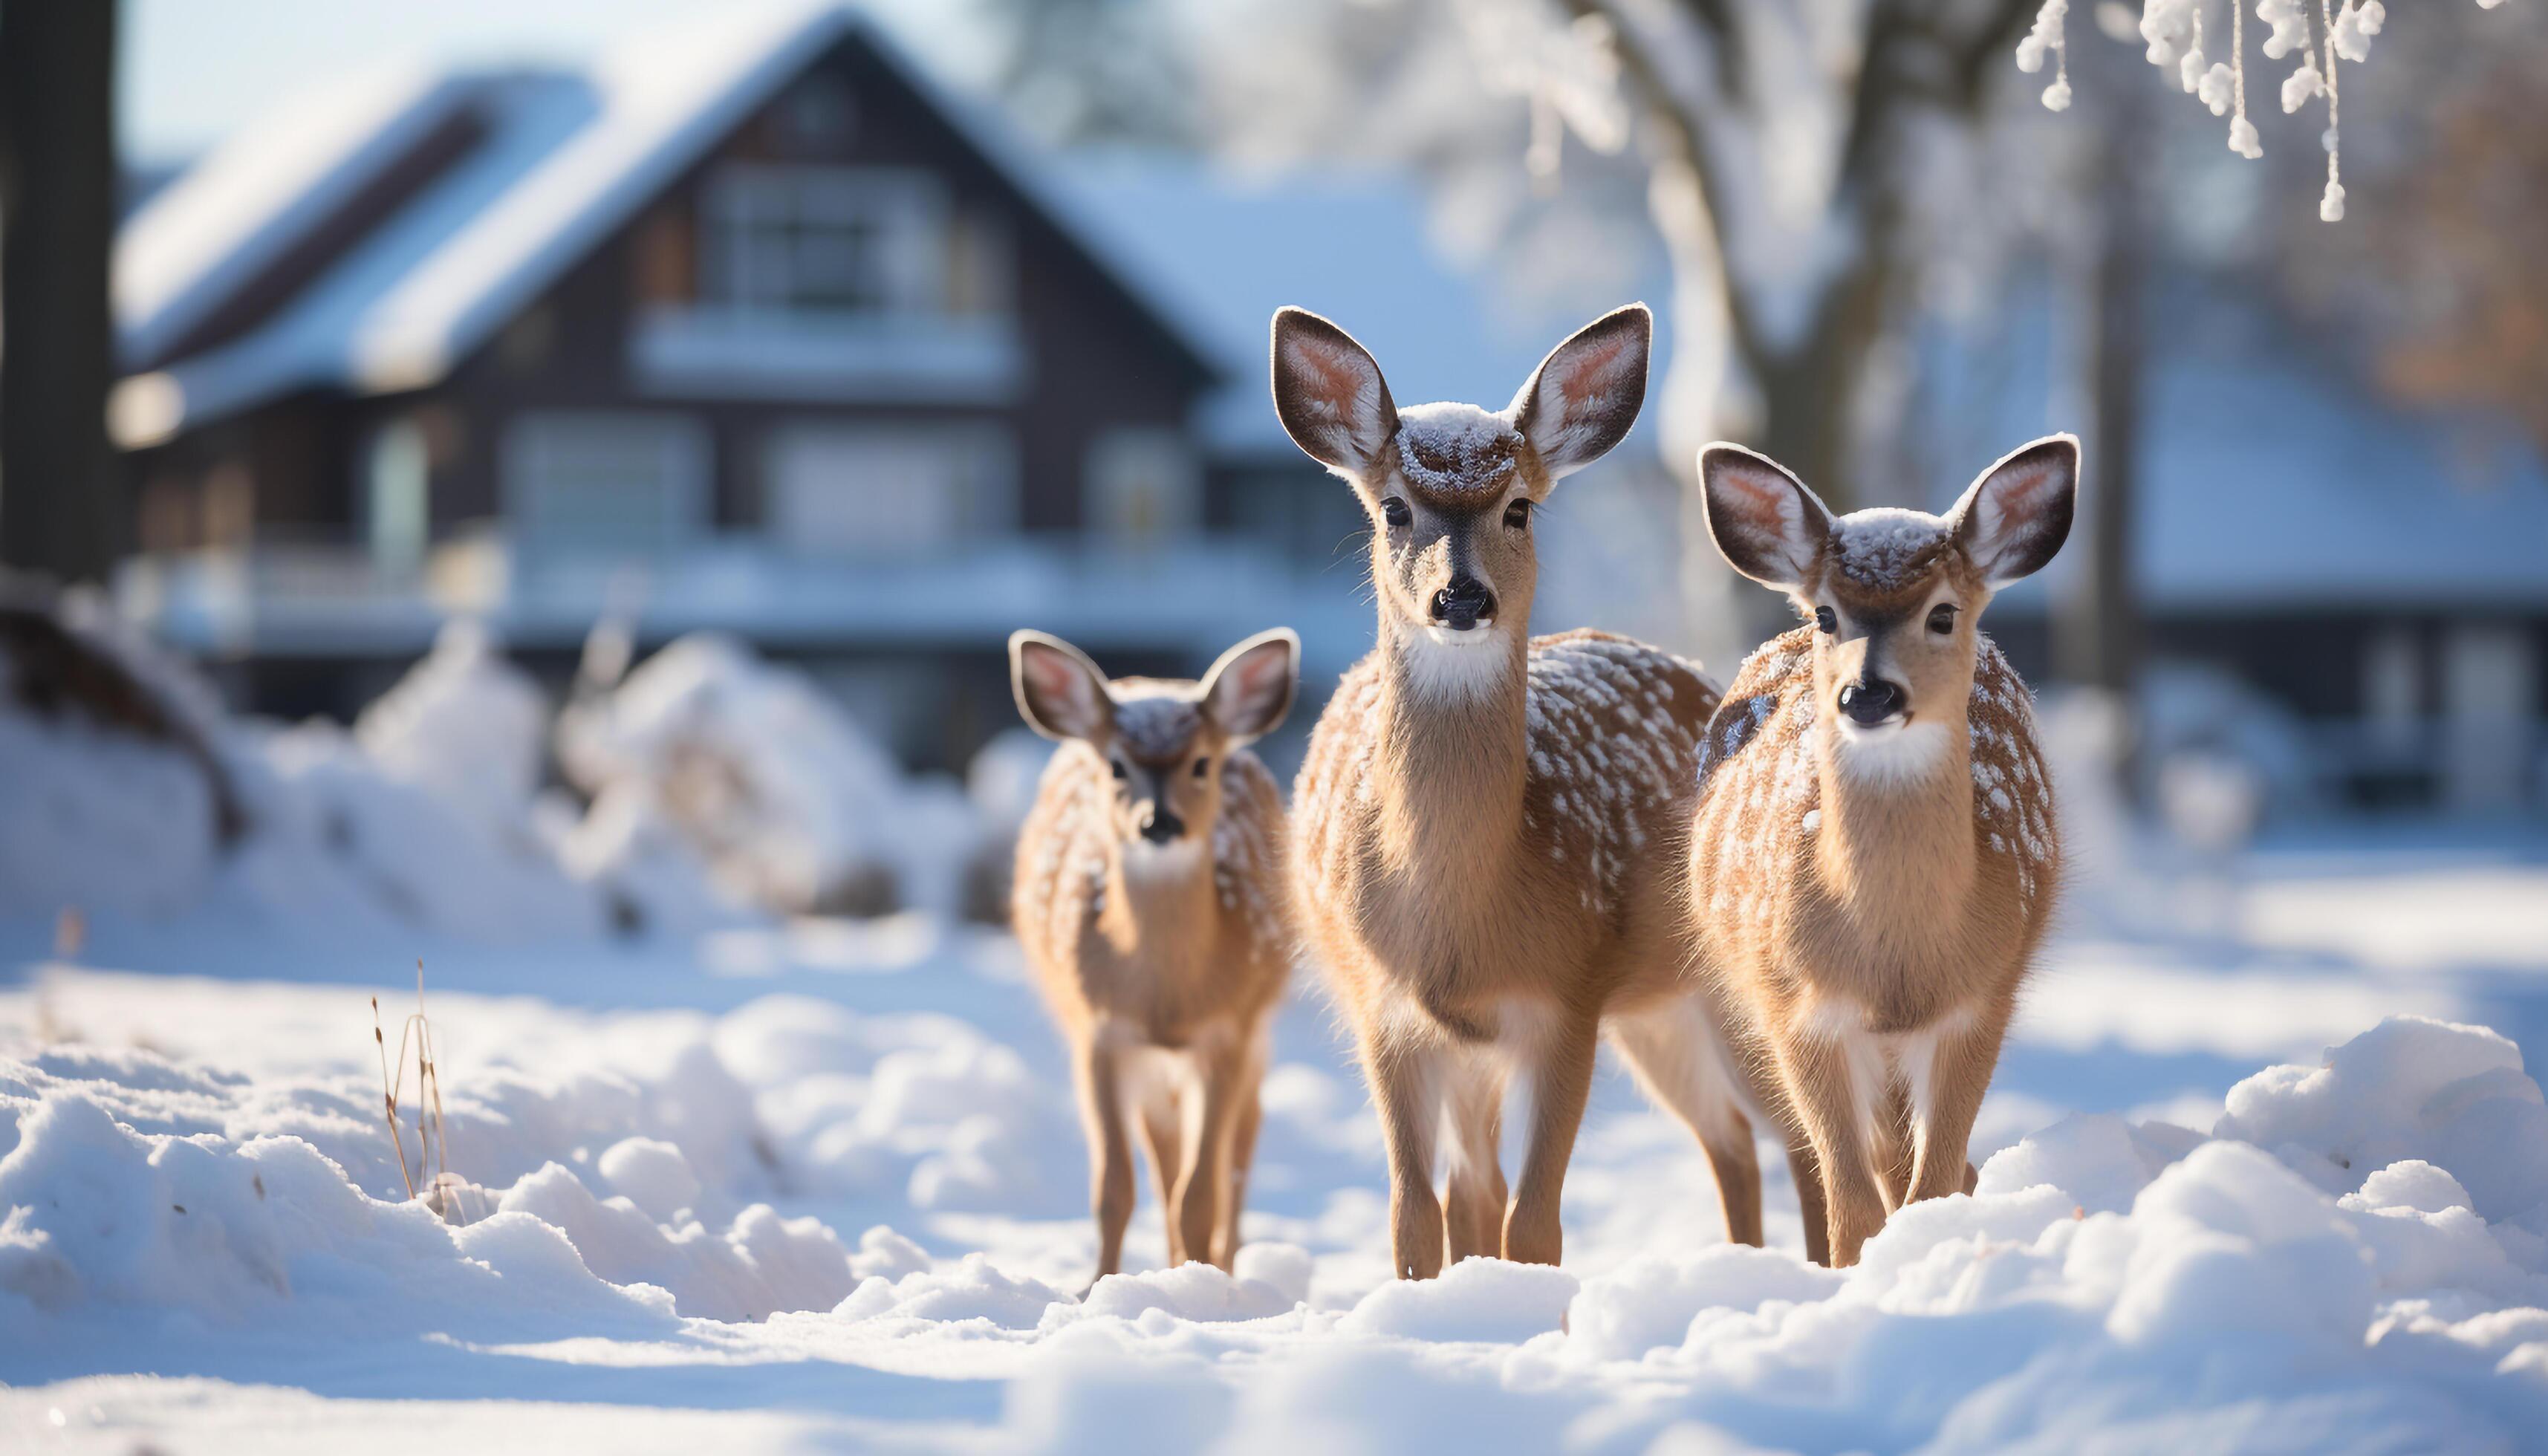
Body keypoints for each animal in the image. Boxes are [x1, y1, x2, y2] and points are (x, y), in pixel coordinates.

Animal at [1009, 627, 1304, 1285]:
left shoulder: (1227, 1034)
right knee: (1166, 1159)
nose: (1159, 822)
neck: (1167, 998)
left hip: (1255, 1034)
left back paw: (1219, 1263)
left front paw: (1204, 1281)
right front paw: (1096, 1287)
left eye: (1201, 763)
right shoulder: (1099, 1036)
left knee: (1240, 1152)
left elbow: (1202, 1191)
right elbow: (1114, 1188)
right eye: (1116, 766)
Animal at [1269, 302, 1773, 1280]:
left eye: (1518, 506)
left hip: (1706, 980)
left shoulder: (1567, 997)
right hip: (1630, 1017)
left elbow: (1534, 1225)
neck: (1462, 917)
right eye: (1394, 508)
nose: (1460, 598)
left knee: (1792, 1132)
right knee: (1717, 1139)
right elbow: (1415, 1216)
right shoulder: (1389, 1012)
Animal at [1681, 433, 2079, 1264]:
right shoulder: (1795, 1006)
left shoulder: (1983, 996)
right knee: (1879, 1160)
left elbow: (1934, 1179)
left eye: (1943, 613)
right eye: (1830, 613)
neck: (1897, 960)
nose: (1868, 693)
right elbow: (1850, 1200)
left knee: (1925, 1161)